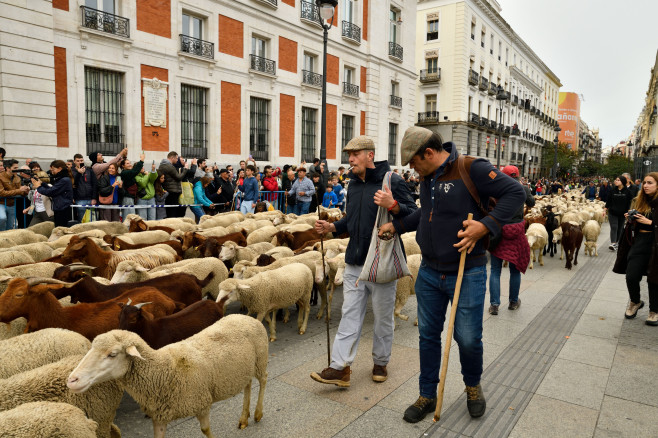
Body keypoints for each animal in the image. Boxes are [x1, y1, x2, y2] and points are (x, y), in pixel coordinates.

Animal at [68, 316, 268, 436]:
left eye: (112, 354)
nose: (72, 380)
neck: (162, 371)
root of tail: (245, 316)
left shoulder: (202, 404)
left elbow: (205, 430)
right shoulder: (159, 417)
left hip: (261, 359)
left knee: (263, 380)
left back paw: (258, 413)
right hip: (244, 368)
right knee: (248, 386)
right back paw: (243, 418)